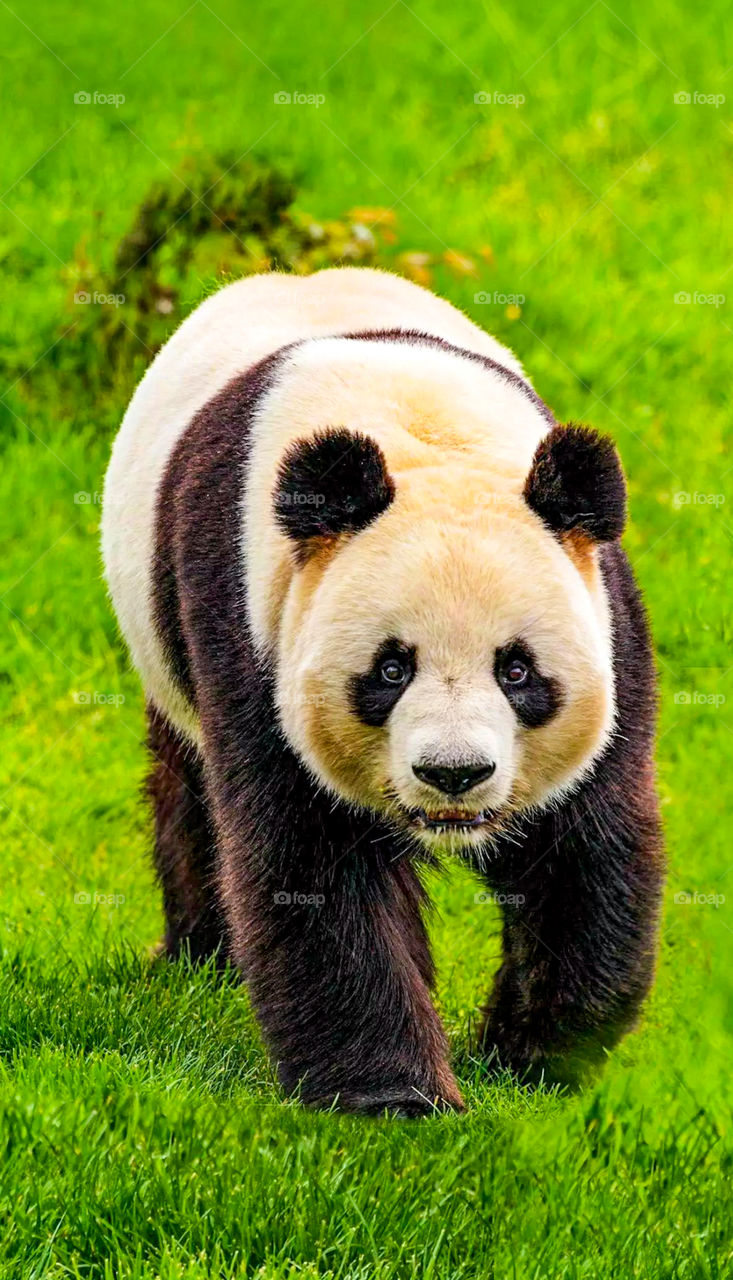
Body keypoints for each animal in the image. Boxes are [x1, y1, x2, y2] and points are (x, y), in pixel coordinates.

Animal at [102, 266, 664, 1116]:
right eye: (390, 670)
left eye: (516, 670)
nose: (453, 774)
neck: (421, 439)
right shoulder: (250, 621)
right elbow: (311, 865)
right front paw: (391, 1098)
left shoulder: (604, 619)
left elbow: (581, 850)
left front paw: (533, 1060)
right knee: (190, 789)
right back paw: (200, 957)